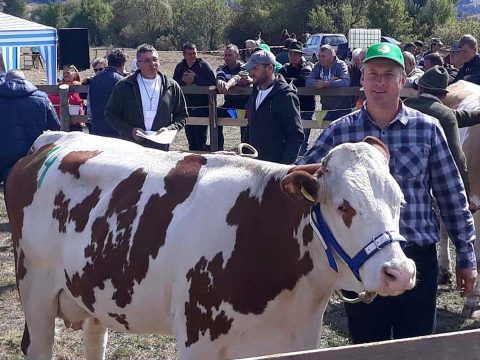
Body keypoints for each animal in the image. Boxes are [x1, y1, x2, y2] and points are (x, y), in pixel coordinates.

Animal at [5, 132, 414, 360]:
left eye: (400, 200)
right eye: (344, 207)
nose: (399, 272)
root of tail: (51, 144)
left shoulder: (299, 341)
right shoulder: (197, 340)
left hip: (93, 294)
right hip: (36, 292)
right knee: (38, 347)